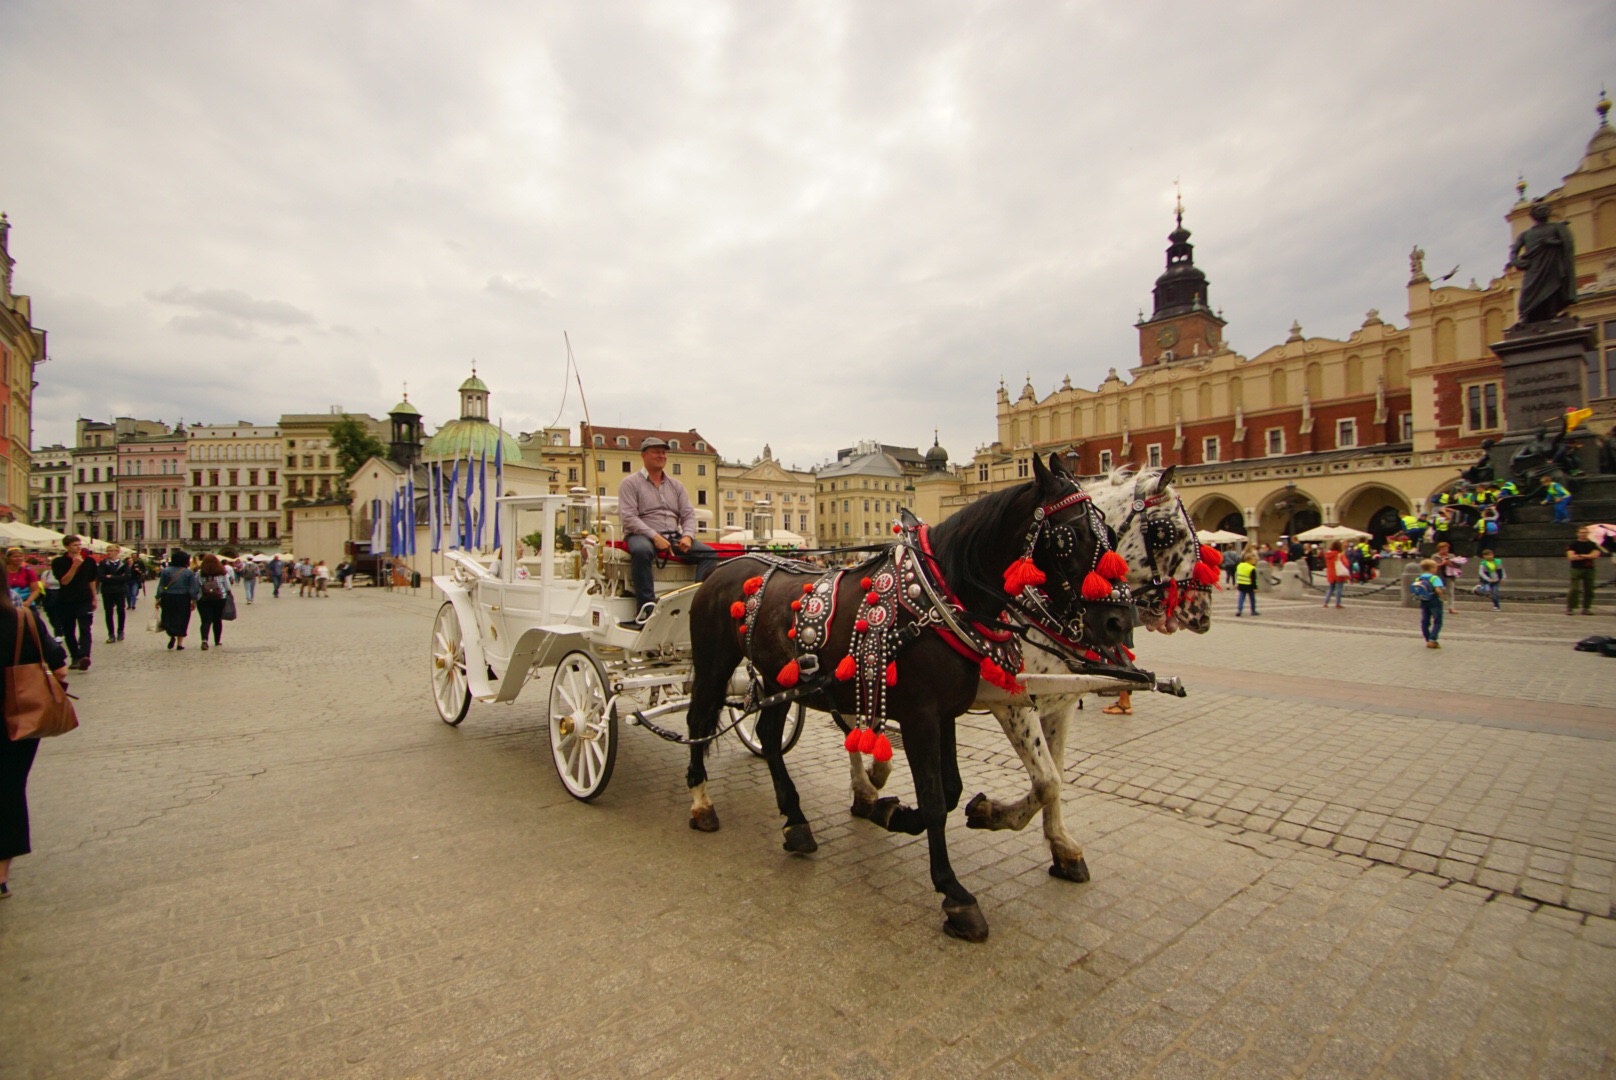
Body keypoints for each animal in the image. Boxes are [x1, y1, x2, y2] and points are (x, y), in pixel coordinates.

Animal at [688, 452, 1131, 937]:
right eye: (1071, 536)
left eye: (1111, 534)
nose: (1119, 621)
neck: (939, 600)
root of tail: (724, 568)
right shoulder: (923, 716)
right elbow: (937, 800)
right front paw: (955, 894)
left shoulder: (948, 712)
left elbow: (953, 790)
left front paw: (895, 815)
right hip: (713, 665)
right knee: (697, 722)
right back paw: (702, 804)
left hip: (779, 680)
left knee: (768, 734)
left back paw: (797, 822)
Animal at [846, 459, 1215, 879]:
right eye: (1165, 532)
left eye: (1107, 533)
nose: (1202, 610)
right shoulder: (1013, 703)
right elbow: (1046, 780)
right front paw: (990, 813)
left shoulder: (1061, 703)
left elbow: (1057, 772)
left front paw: (1062, 846)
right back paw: (866, 786)